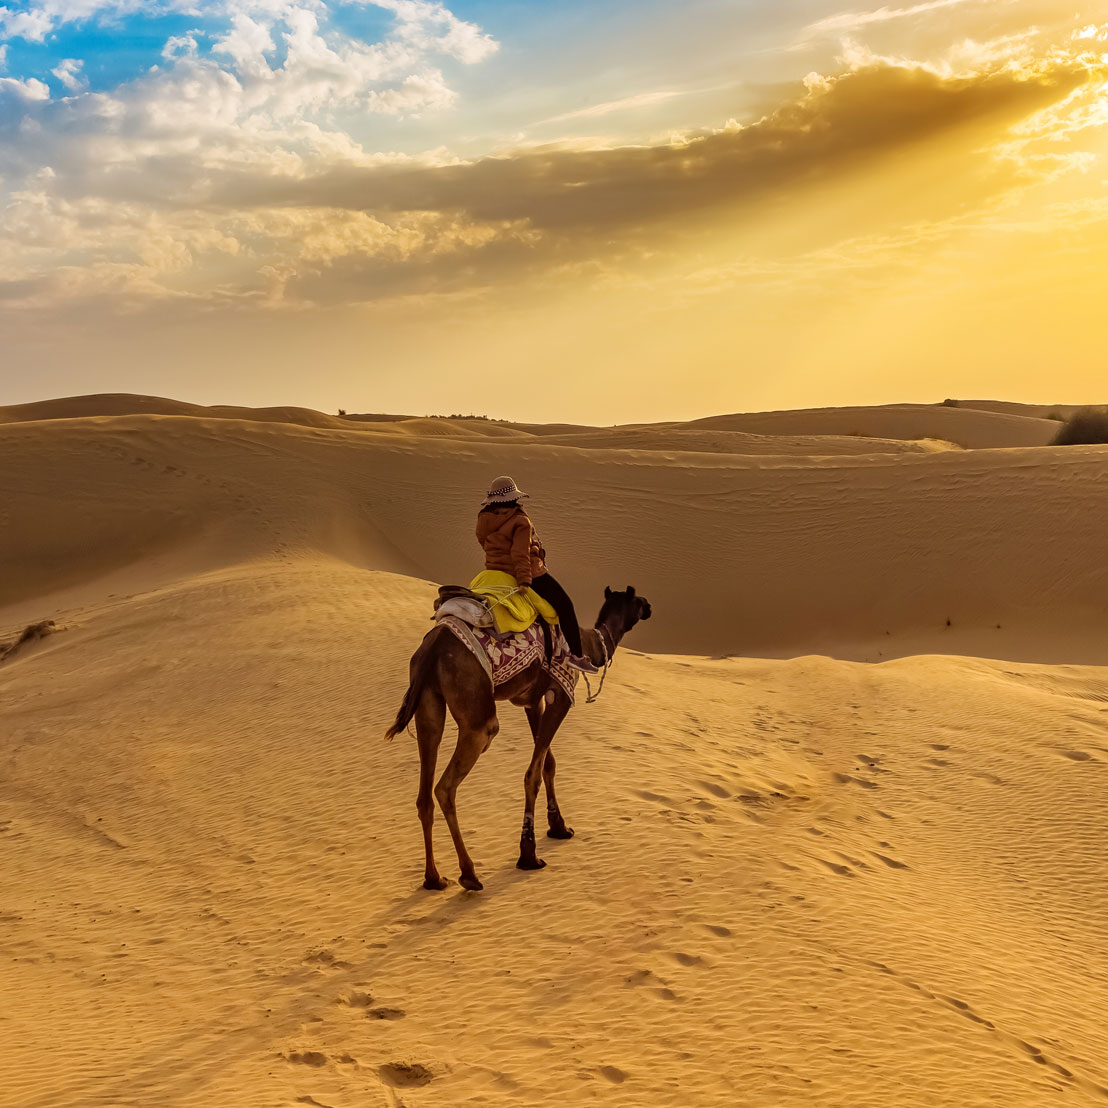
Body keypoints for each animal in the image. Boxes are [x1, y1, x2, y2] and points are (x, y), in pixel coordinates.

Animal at [387, 589, 647, 890]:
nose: (649, 606)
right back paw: (469, 874)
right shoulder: (561, 694)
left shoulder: (533, 702)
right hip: (477, 715)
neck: (587, 644)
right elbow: (533, 773)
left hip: (428, 701)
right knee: (445, 787)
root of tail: (433, 649)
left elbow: (548, 764)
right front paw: (529, 854)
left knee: (425, 791)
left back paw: (434, 878)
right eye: (638, 601)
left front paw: (559, 827)